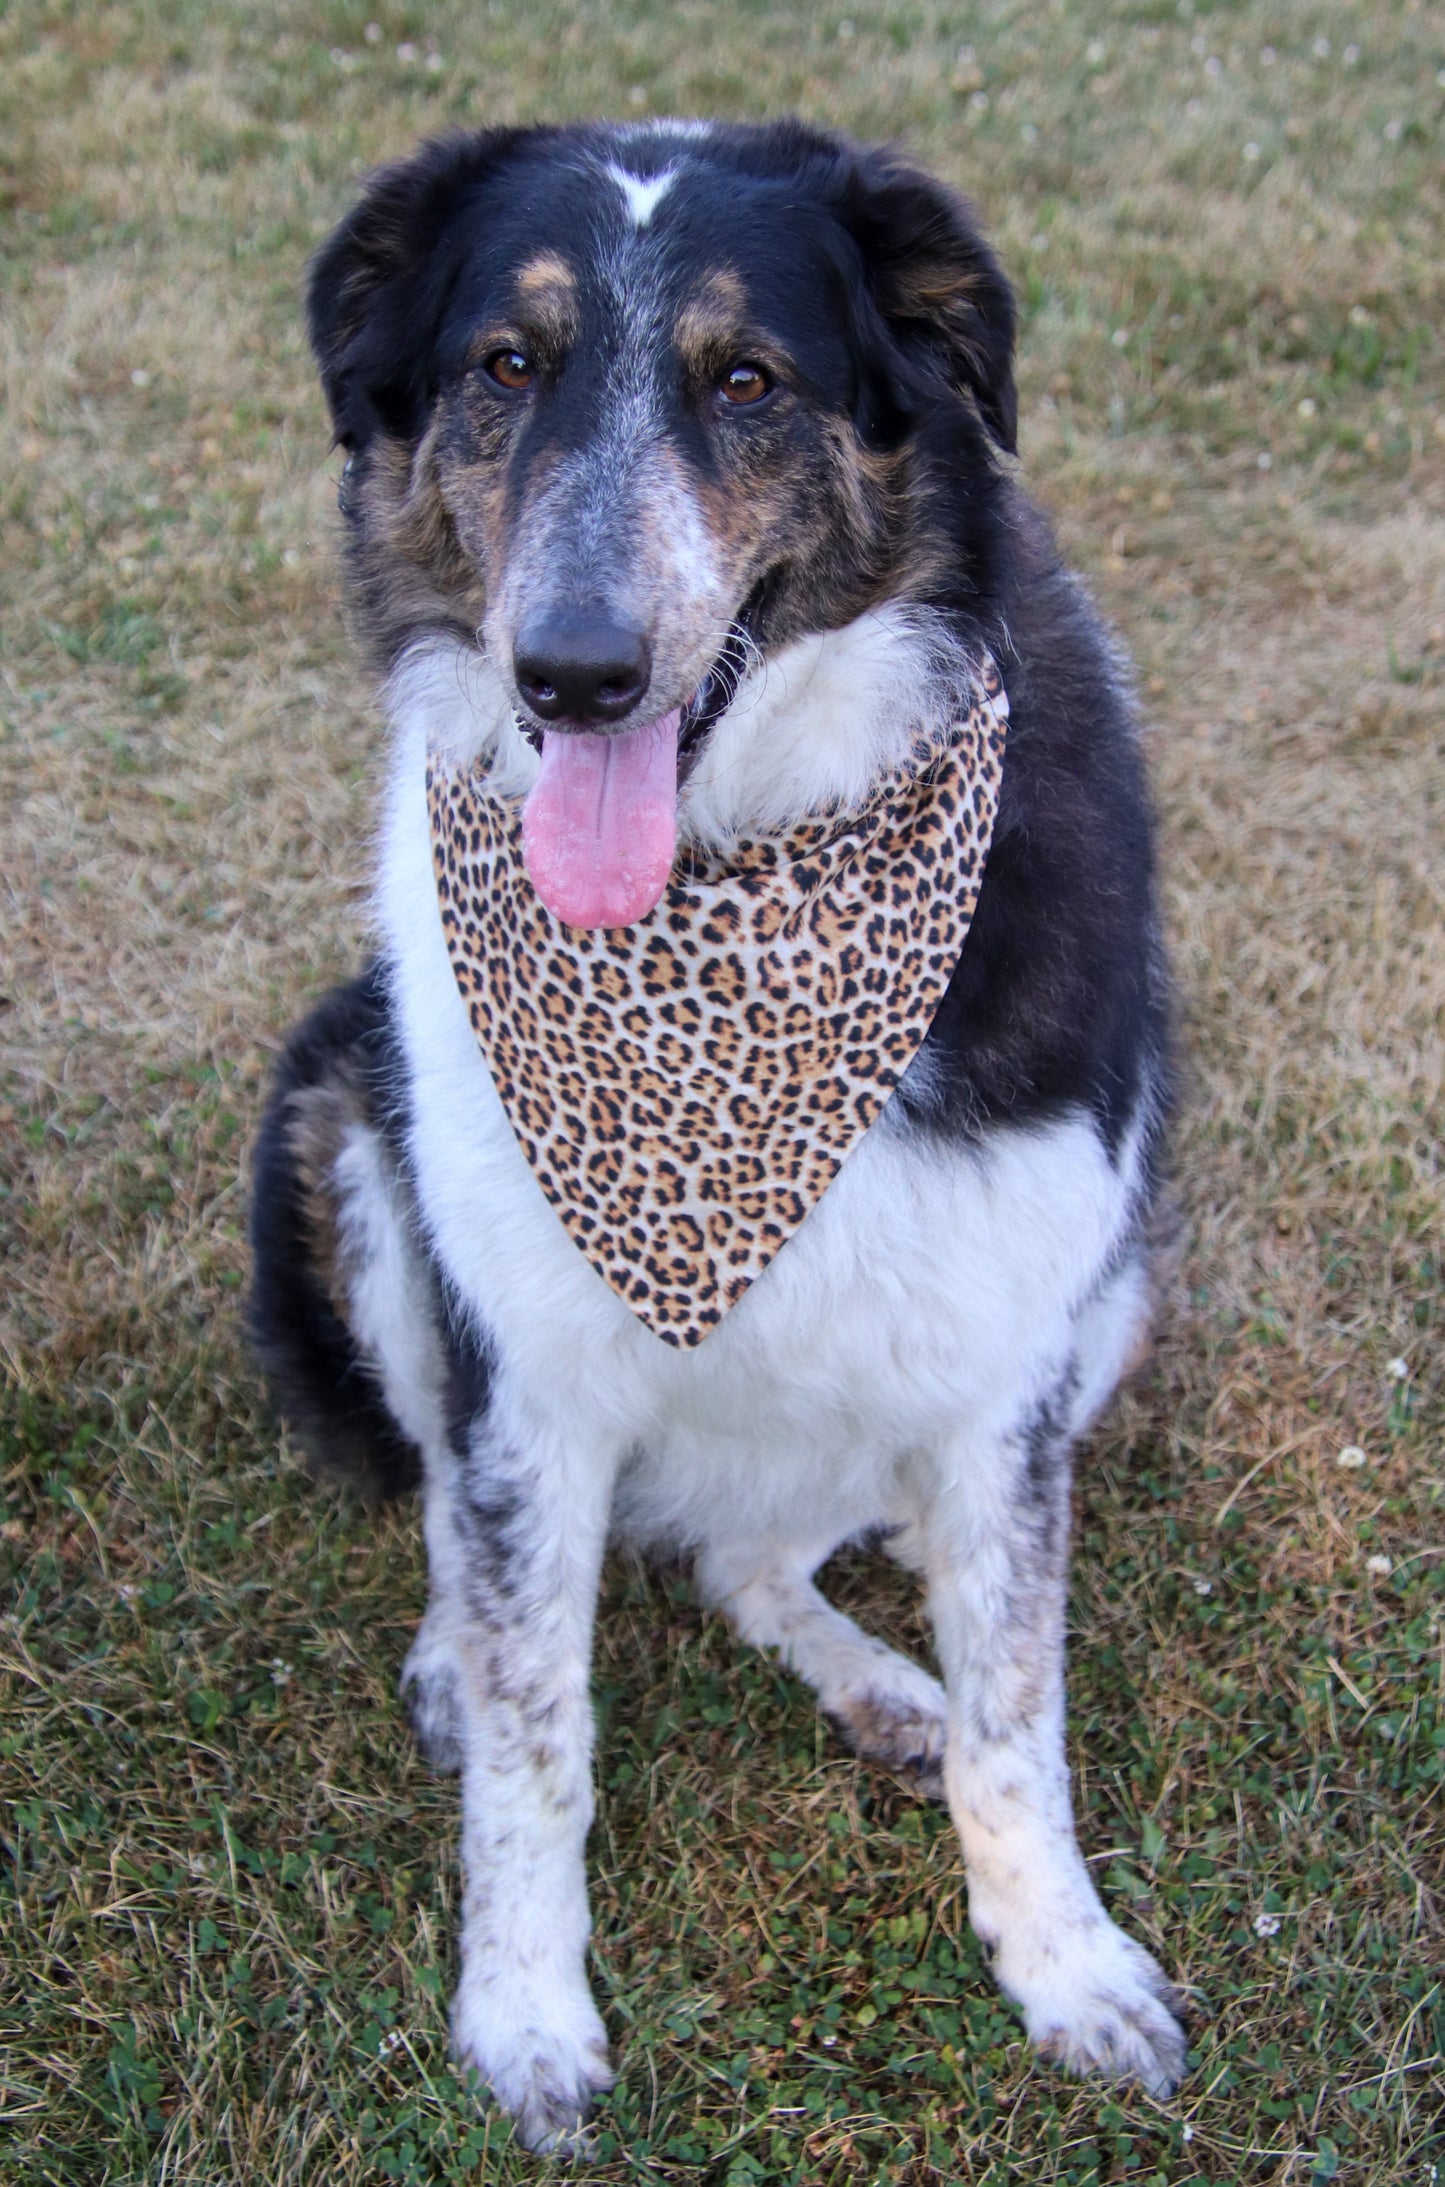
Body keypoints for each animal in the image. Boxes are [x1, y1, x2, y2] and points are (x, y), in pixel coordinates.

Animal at [250, 119, 1180, 2152]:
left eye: (748, 381)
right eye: (504, 366)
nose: (575, 673)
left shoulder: (1006, 1361)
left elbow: (1020, 1711)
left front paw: (1061, 1961)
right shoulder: (524, 1363)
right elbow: (534, 1734)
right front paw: (525, 2012)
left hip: (1110, 1297)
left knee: (763, 1554)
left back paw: (878, 1680)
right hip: (350, 1134)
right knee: (462, 1513)